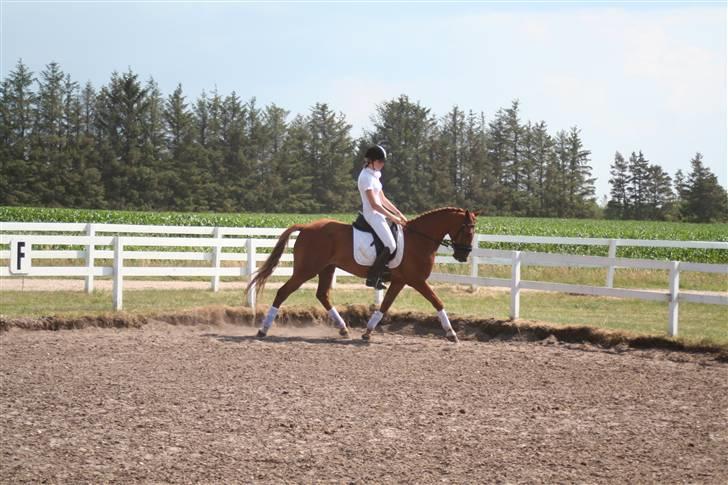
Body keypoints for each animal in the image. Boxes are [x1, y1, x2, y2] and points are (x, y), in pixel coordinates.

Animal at [247, 207, 478, 340]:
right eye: (468, 230)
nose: (463, 255)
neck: (419, 239)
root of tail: (306, 227)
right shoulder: (416, 280)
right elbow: (437, 301)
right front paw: (451, 333)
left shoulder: (400, 281)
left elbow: (385, 306)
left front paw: (368, 331)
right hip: (306, 269)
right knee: (283, 292)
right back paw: (263, 330)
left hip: (326, 268)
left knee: (322, 295)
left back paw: (343, 329)